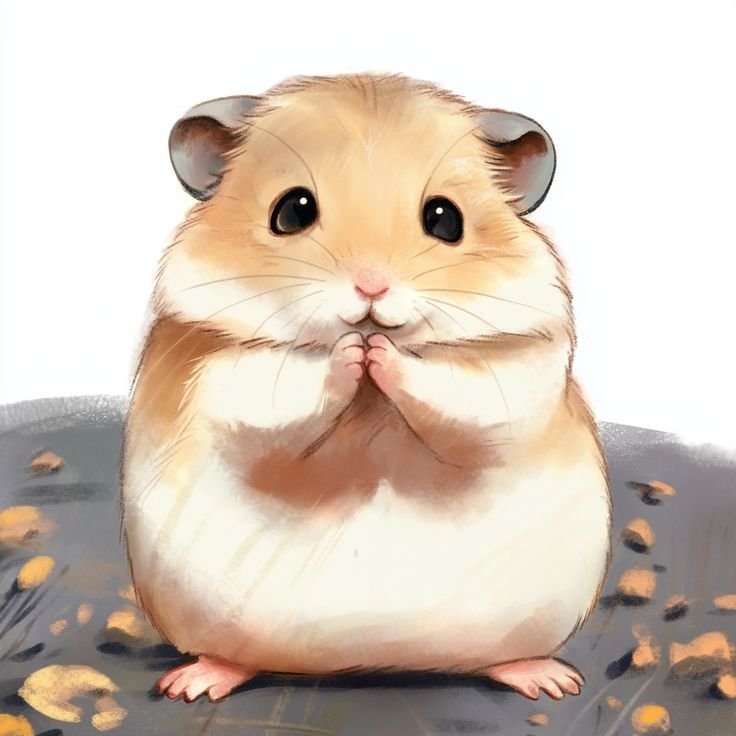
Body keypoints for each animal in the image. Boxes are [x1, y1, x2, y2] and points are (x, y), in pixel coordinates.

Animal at [121, 73, 611, 703]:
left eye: (445, 218)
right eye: (292, 211)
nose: (371, 288)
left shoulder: (516, 371)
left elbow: (457, 397)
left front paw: (381, 354)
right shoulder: (217, 373)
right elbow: (280, 398)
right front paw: (354, 353)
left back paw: (552, 682)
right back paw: (192, 684)